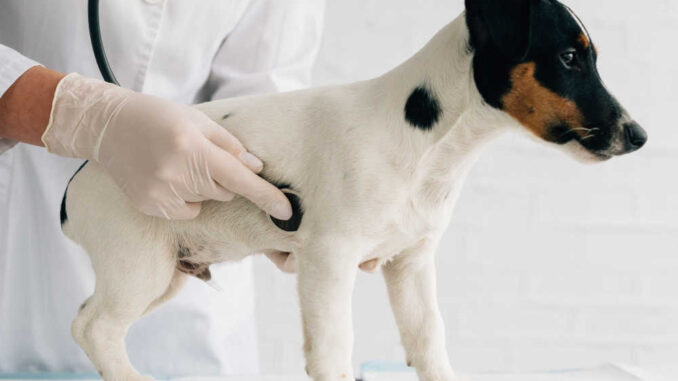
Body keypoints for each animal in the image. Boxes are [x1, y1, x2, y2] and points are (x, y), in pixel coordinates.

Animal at [62, 0, 648, 380]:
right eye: (570, 58)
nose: (640, 136)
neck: (429, 142)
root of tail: (79, 183)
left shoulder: (411, 264)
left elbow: (428, 341)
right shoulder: (329, 260)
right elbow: (333, 350)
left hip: (166, 274)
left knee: (89, 320)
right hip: (139, 265)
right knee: (95, 328)